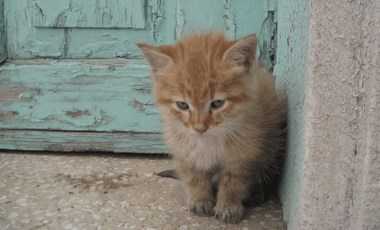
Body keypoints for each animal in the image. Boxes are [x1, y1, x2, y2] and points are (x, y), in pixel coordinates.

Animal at [138, 33, 286, 224]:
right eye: (182, 105)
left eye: (217, 103)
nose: (200, 128)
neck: (209, 140)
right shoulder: (182, 150)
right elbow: (193, 177)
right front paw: (199, 200)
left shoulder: (243, 155)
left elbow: (233, 182)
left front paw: (228, 207)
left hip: (273, 142)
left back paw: (257, 192)